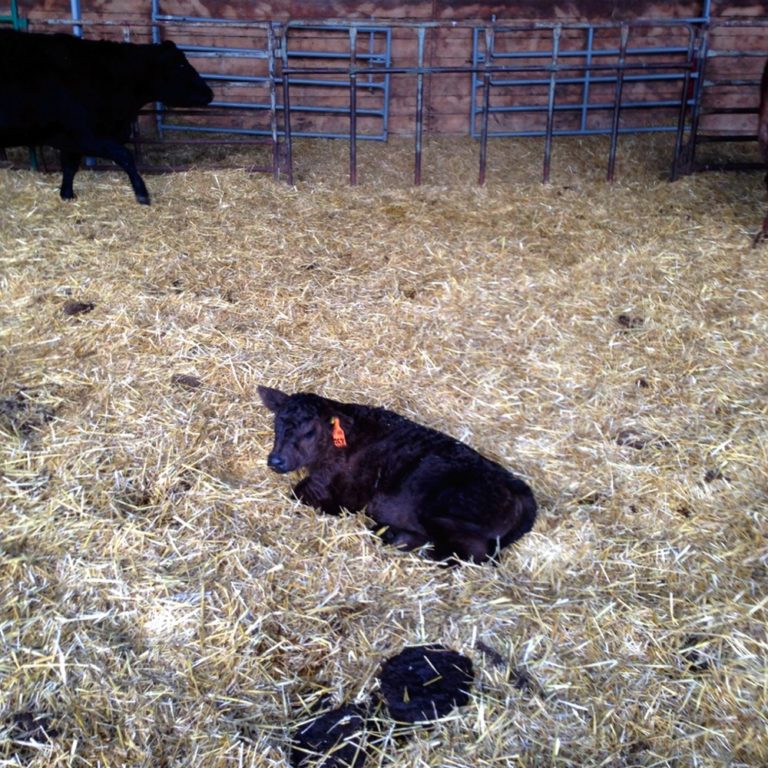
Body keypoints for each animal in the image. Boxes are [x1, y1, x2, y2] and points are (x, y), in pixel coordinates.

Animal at [0, 29, 213, 205]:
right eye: (181, 65)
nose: (210, 93)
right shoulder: (85, 135)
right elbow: (124, 155)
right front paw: (142, 193)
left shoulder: (70, 140)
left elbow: (69, 167)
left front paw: (67, 195)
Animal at [258, 386, 537, 564]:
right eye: (276, 423)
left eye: (309, 432)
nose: (276, 460)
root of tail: (519, 488)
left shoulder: (327, 486)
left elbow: (295, 494)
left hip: (444, 512)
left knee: (474, 554)